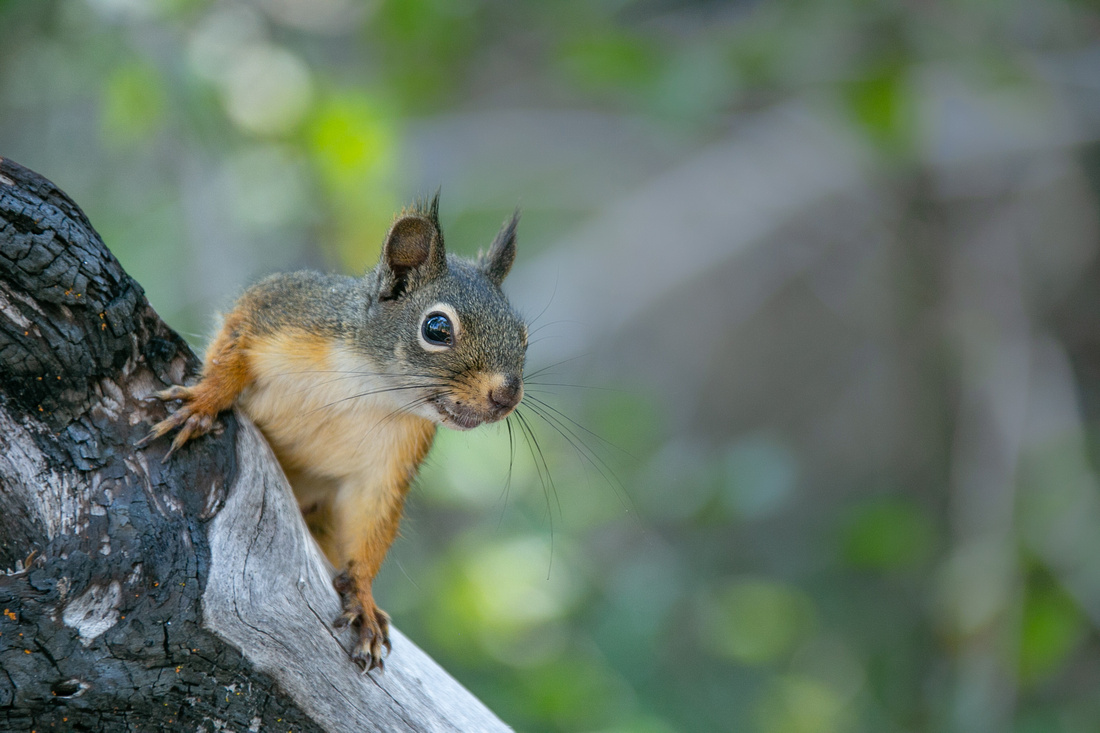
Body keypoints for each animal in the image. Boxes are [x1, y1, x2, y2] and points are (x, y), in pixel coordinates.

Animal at [146, 193, 528, 669]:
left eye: (523, 335)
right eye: (437, 328)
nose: (507, 396)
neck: (370, 385)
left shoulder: (389, 467)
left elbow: (369, 524)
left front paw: (362, 598)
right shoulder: (283, 308)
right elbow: (233, 343)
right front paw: (205, 401)